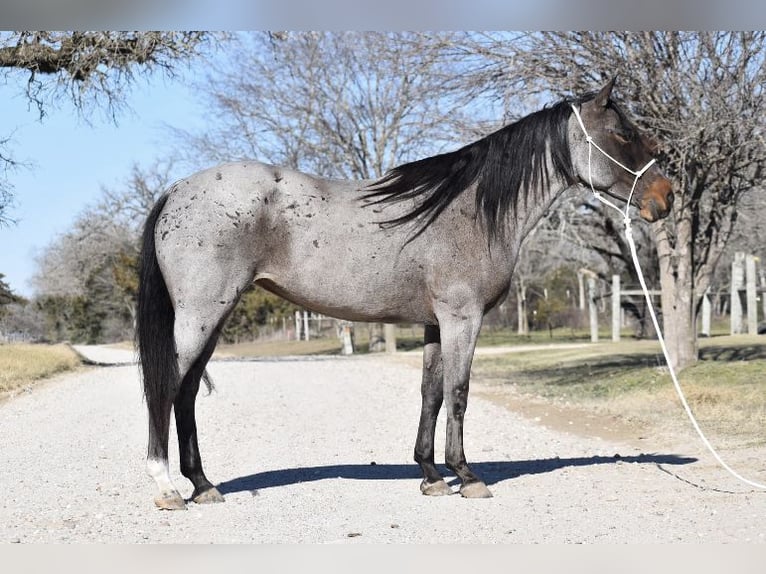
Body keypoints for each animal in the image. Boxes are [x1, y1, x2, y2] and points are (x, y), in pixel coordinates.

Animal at [136, 79, 672, 510]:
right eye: (623, 133)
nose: (664, 198)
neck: (472, 210)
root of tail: (177, 189)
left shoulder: (436, 323)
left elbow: (431, 394)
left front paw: (431, 475)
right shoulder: (462, 319)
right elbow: (458, 392)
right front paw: (467, 476)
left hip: (211, 319)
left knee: (185, 394)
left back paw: (203, 484)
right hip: (201, 316)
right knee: (167, 389)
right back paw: (166, 488)